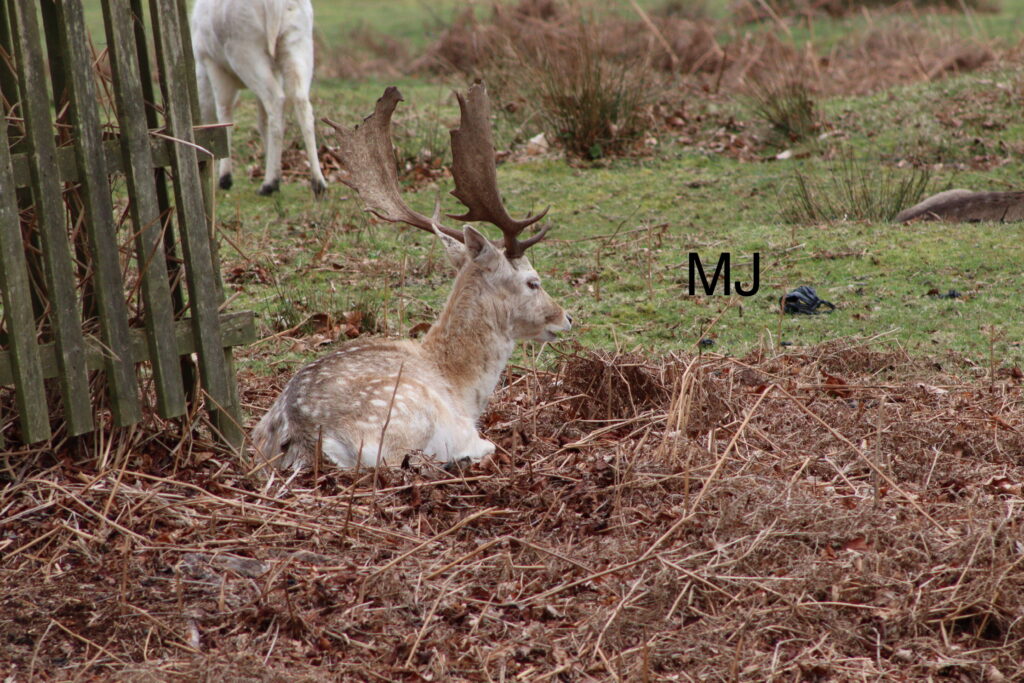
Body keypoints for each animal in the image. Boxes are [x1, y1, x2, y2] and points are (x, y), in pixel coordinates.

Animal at [190, 0, 327, 197]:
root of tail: (276, 4)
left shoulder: (212, 63)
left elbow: (224, 112)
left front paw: (225, 178)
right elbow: (262, 122)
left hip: (246, 50)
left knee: (276, 100)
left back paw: (269, 183)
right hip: (299, 42)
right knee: (301, 102)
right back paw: (318, 183)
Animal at [250, 84, 572, 470]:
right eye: (533, 281)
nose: (566, 317)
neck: (461, 387)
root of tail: (302, 436)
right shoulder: (463, 430)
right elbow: (487, 445)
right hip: (405, 424)